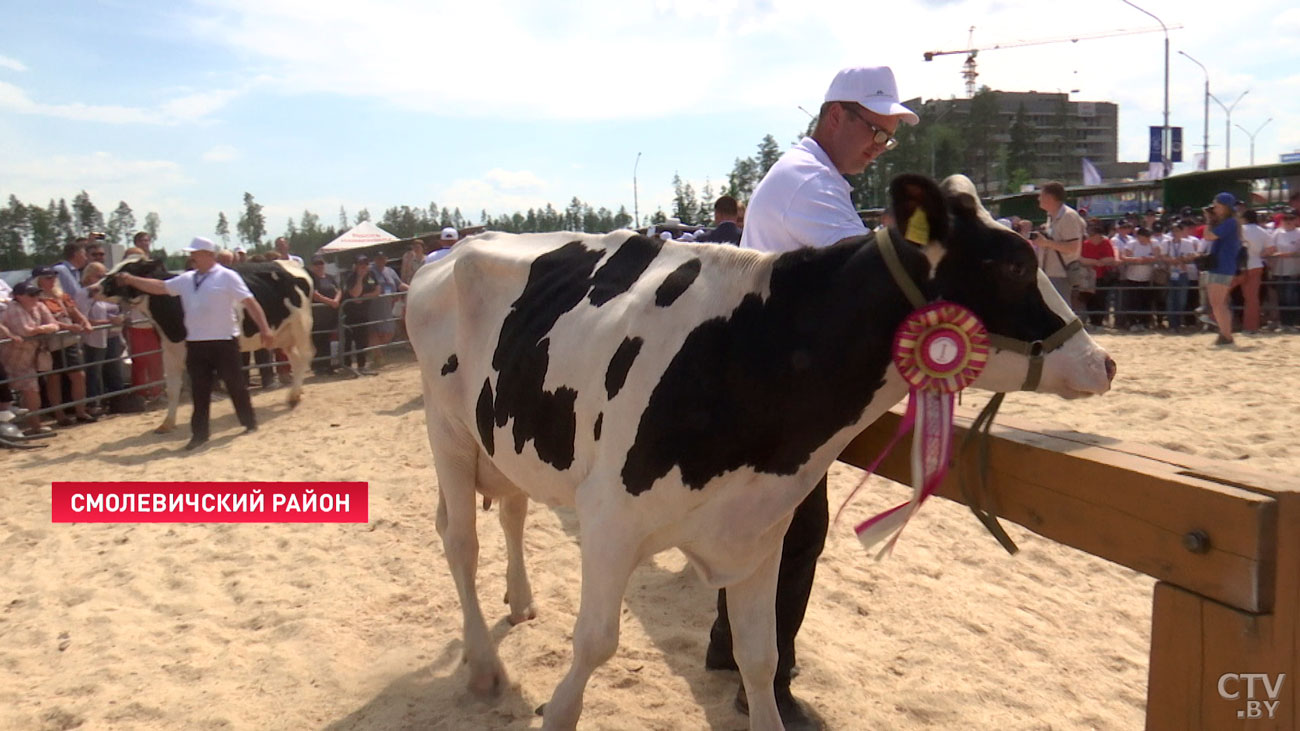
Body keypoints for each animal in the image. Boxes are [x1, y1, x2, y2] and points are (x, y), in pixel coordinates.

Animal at [101, 256, 314, 429]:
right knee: (296, 360)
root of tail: (292, 264)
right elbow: (173, 388)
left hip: (300, 325)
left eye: (128, 268)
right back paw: (295, 393)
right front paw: (167, 423)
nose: (98, 286)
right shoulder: (170, 351)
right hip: (282, 334)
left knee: (304, 357)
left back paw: (294, 396)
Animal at [408, 172, 1118, 723]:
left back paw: (521, 601)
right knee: (460, 540)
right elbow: (596, 643)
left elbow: (759, 655)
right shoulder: (610, 519)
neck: (751, 352)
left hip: (502, 437)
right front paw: (557, 708)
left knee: (511, 507)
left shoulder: (758, 528)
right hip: (447, 429)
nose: (1103, 362)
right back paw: (483, 665)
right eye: (1014, 264)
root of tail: (455, 248)